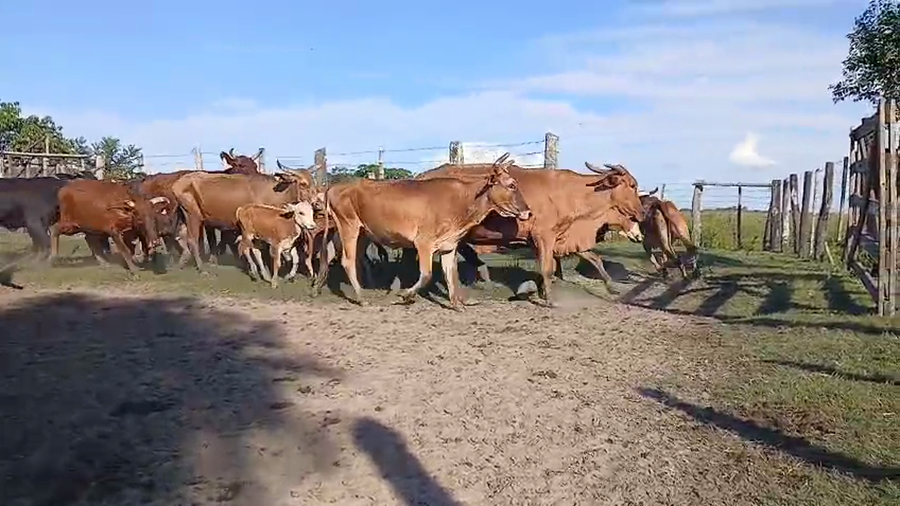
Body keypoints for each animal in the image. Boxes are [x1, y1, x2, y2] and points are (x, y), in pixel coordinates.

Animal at [170, 164, 318, 274]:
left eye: (313, 182)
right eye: (303, 184)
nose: (316, 202)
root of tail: (178, 182)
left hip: (186, 216)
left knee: (181, 237)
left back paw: (182, 262)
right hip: (193, 216)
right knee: (192, 240)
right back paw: (201, 268)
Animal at [313, 153, 531, 309]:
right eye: (512, 185)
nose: (528, 212)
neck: (462, 200)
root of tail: (335, 187)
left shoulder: (449, 246)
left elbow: (451, 274)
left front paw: (456, 304)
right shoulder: (423, 243)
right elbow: (426, 275)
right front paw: (405, 295)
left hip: (360, 232)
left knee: (331, 252)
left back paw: (318, 287)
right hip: (349, 226)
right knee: (348, 261)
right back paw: (361, 298)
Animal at [411, 161, 646, 306]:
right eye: (632, 185)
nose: (642, 213)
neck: (569, 192)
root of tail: (422, 175)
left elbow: (584, 260)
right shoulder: (545, 236)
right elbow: (548, 269)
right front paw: (550, 300)